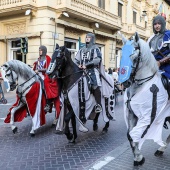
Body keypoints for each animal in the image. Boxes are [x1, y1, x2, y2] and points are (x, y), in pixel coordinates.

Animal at [119, 32, 170, 166]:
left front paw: (138, 157)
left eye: (134, 58)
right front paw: (138, 157)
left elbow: (135, 134)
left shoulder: (148, 116)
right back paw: (161, 148)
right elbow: (130, 134)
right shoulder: (132, 114)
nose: (125, 83)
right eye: (121, 56)